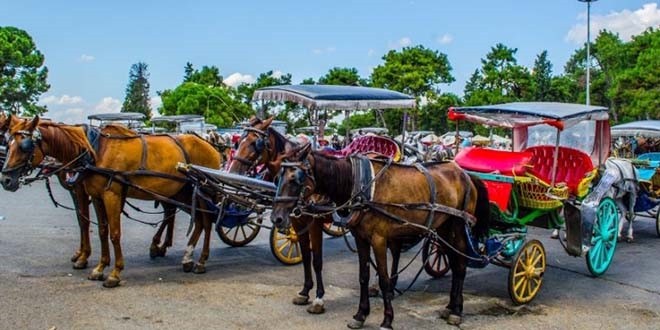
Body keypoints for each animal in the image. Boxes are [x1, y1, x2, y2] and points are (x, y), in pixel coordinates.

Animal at [0, 117, 222, 288]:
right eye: (8, 143)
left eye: (24, 146)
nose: (6, 180)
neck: (94, 152)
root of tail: (211, 147)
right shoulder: (96, 196)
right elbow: (100, 230)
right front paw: (98, 267)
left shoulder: (110, 195)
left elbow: (113, 232)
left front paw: (114, 272)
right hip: (183, 191)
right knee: (196, 220)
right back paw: (185, 257)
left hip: (204, 190)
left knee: (207, 221)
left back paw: (200, 260)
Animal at [268, 145, 490, 330]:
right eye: (277, 177)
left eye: (295, 179)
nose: (276, 217)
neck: (359, 184)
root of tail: (465, 173)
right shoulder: (360, 237)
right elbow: (363, 276)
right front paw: (360, 315)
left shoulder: (378, 239)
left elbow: (383, 279)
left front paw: (387, 320)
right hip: (443, 226)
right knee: (451, 259)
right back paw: (450, 306)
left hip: (459, 225)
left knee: (460, 264)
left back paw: (457, 311)